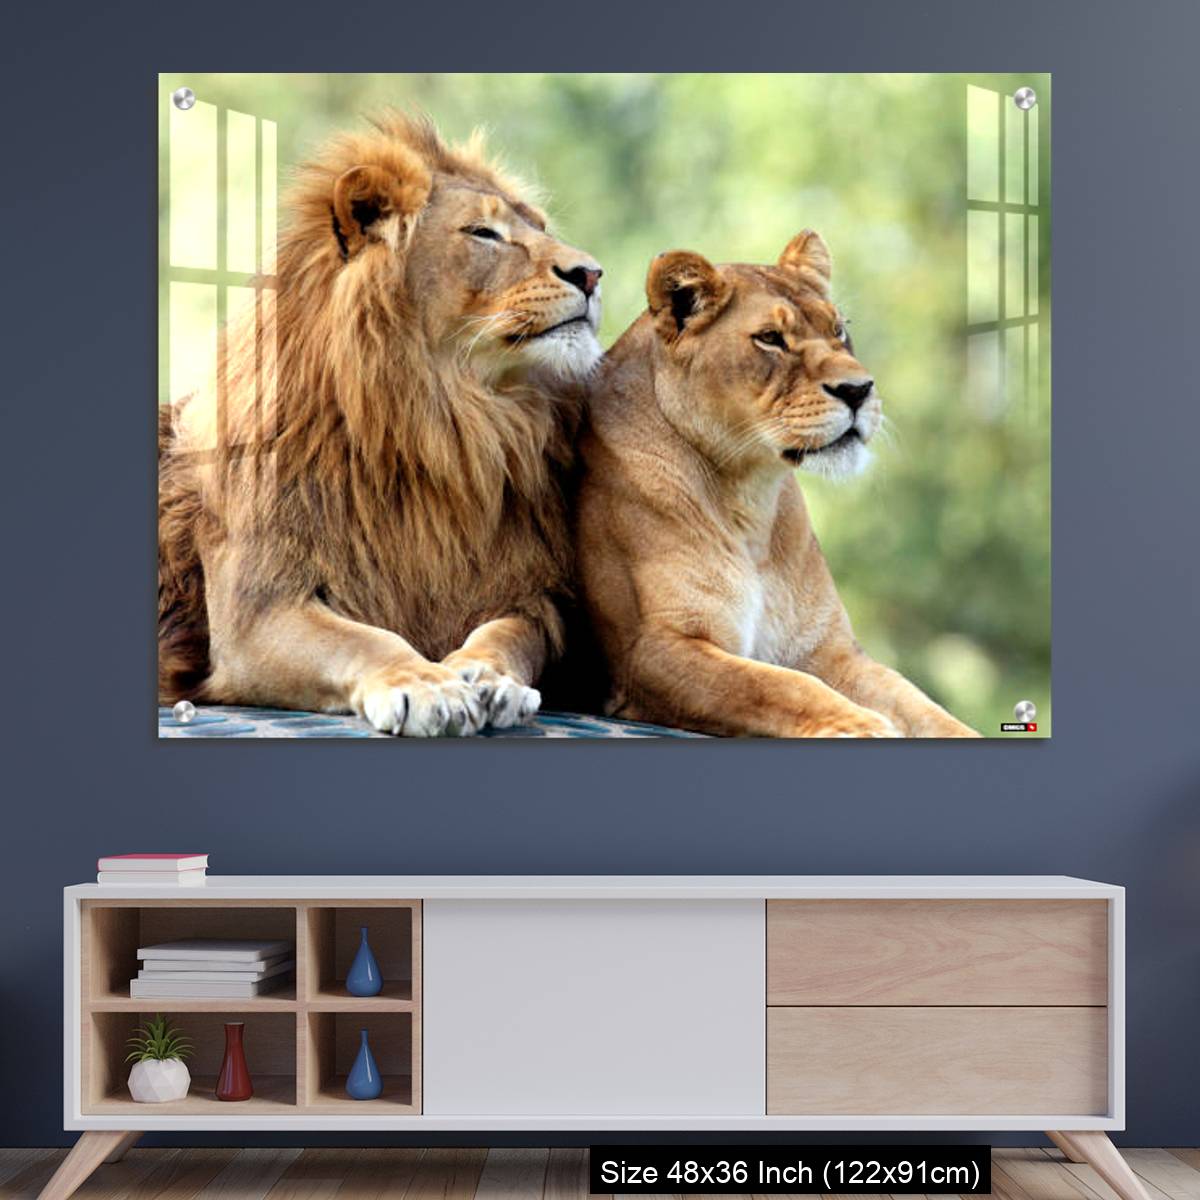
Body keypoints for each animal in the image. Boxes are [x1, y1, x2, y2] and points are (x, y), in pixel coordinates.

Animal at [158, 114, 604, 736]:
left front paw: (490, 677)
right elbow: (365, 640)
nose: (592, 274)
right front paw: (425, 685)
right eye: (483, 233)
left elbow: (509, 635)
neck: (446, 425)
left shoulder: (532, 595)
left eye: (539, 227)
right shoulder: (256, 612)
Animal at [574, 232, 978, 737]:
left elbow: (918, 703)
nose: (858, 390)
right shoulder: (651, 651)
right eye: (770, 339)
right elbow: (778, 685)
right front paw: (862, 724)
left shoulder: (827, 649)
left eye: (838, 330)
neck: (749, 497)